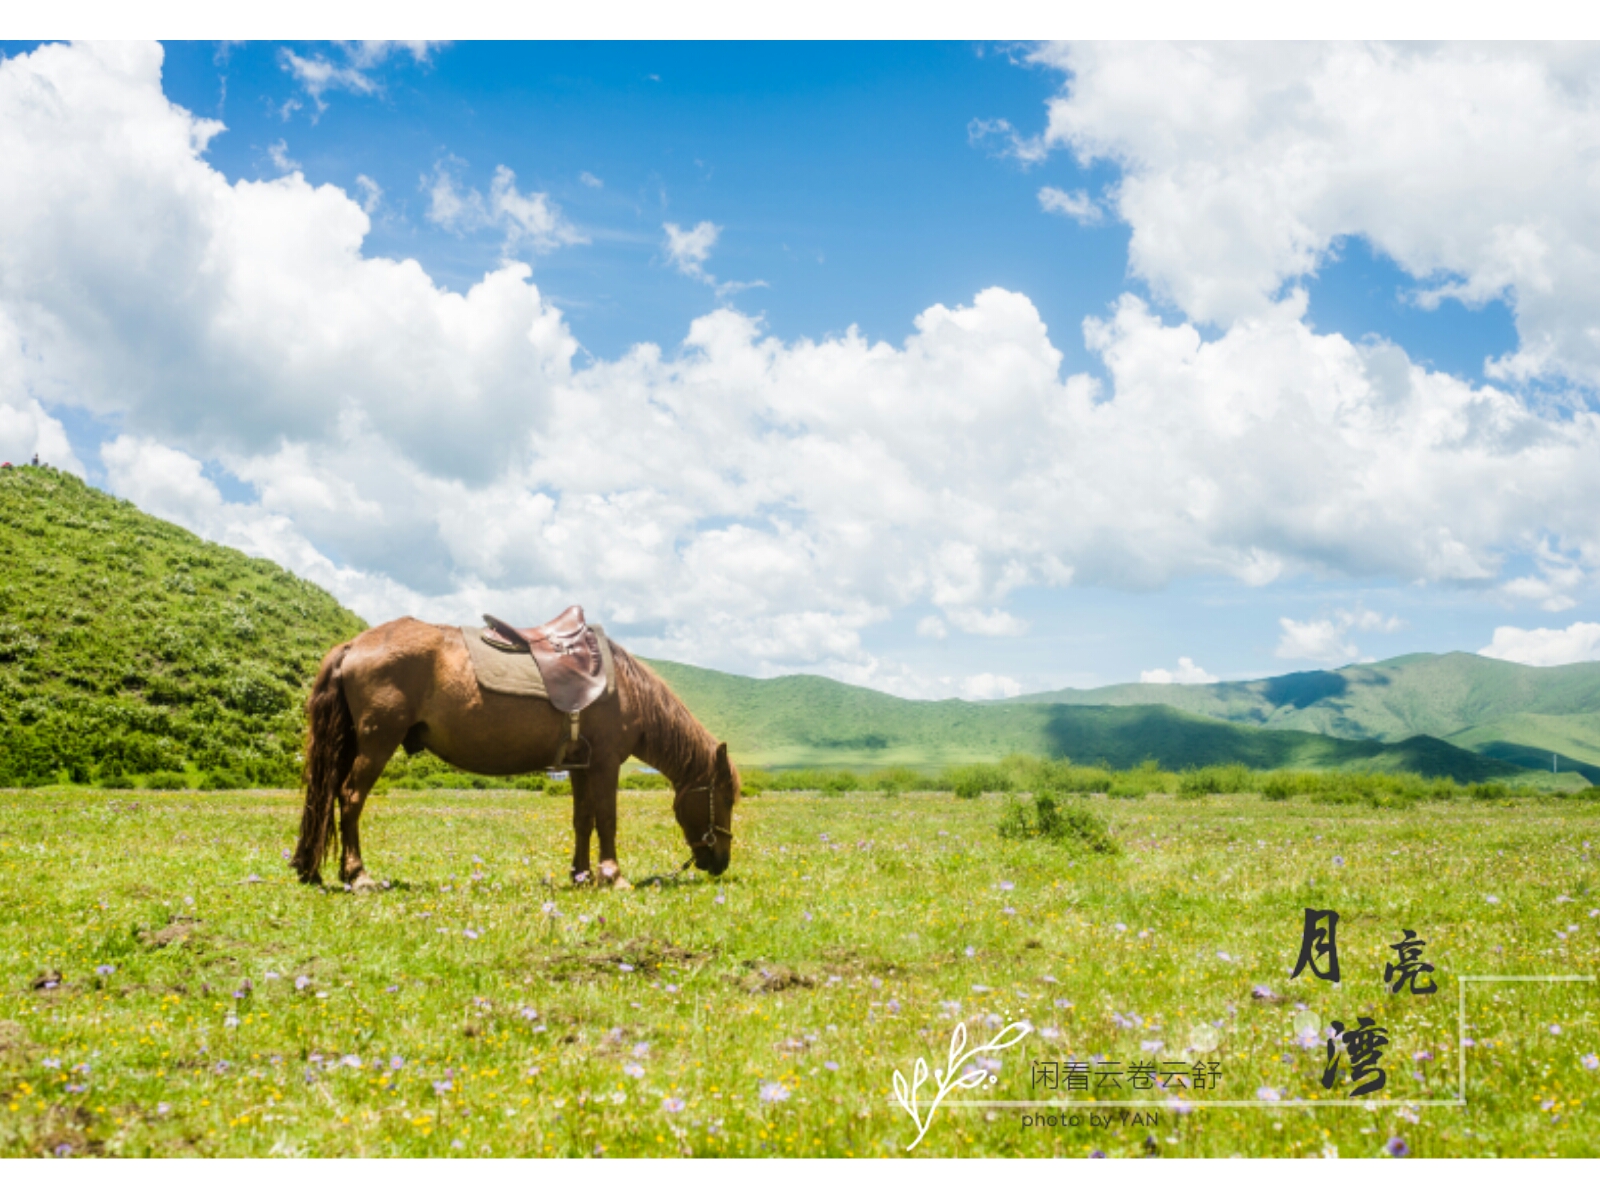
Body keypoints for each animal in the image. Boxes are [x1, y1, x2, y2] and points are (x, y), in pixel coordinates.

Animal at [288, 620, 736, 896]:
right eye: (726, 797)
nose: (720, 862)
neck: (623, 688)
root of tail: (354, 645)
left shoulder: (581, 766)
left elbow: (583, 820)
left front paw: (581, 875)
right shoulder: (606, 764)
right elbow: (607, 821)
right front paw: (613, 876)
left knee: (331, 796)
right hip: (377, 744)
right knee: (350, 798)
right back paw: (358, 875)